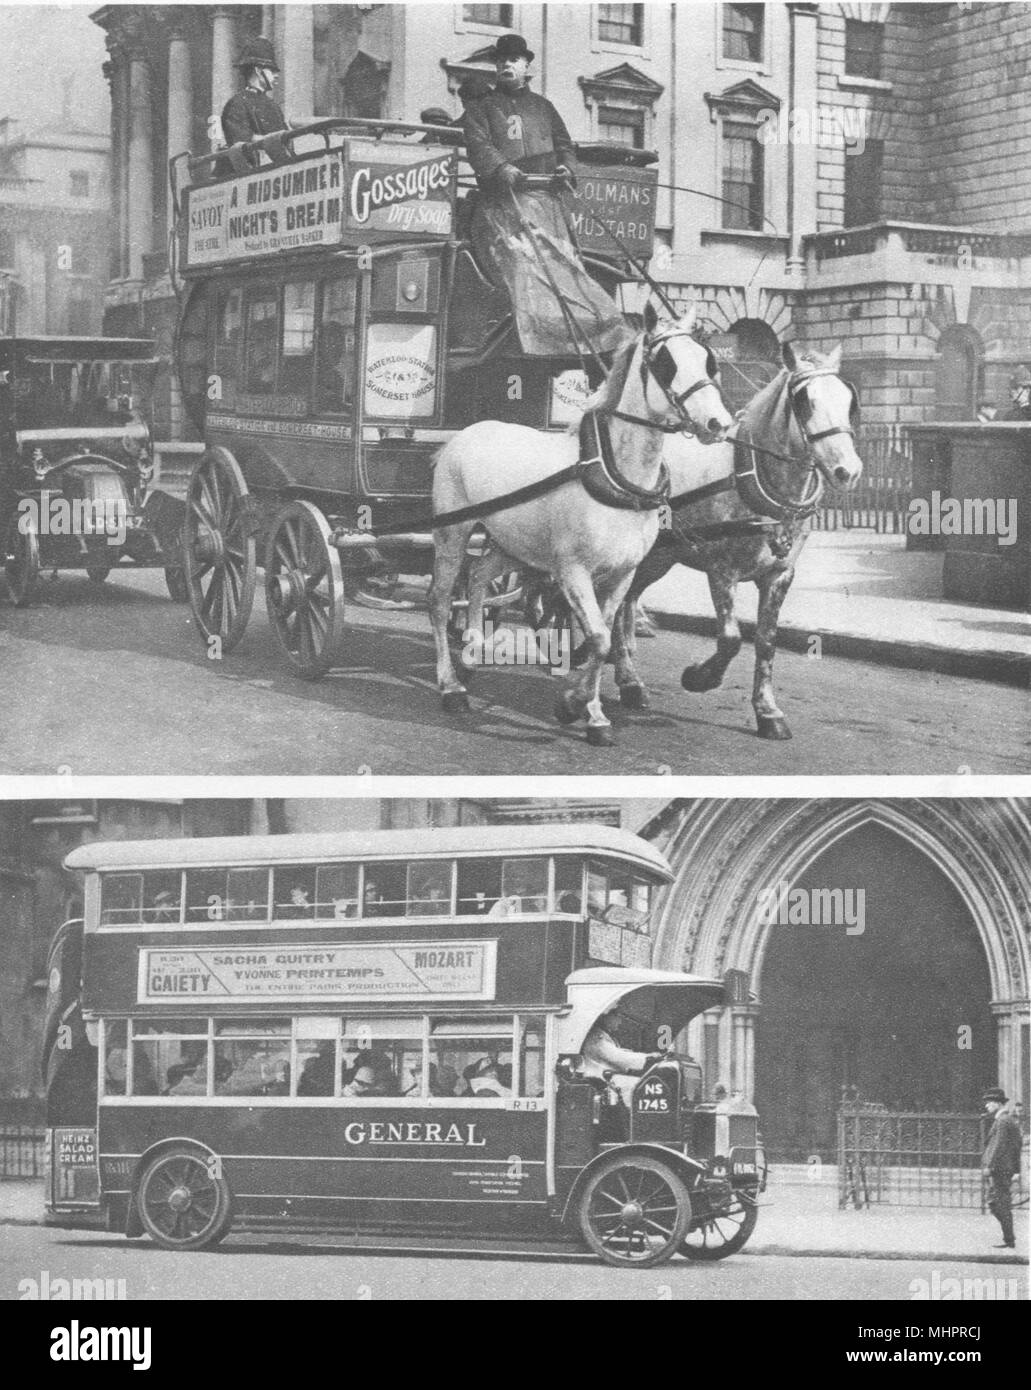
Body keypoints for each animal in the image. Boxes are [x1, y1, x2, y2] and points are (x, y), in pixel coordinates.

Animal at [427, 300, 733, 745]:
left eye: (708, 360)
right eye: (666, 363)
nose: (719, 424)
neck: (616, 475)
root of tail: (462, 435)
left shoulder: (623, 573)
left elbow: (598, 640)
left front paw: (590, 713)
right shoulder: (572, 571)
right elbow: (601, 640)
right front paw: (575, 706)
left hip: (513, 543)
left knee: (481, 575)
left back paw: (471, 653)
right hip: (453, 532)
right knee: (440, 599)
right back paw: (450, 686)